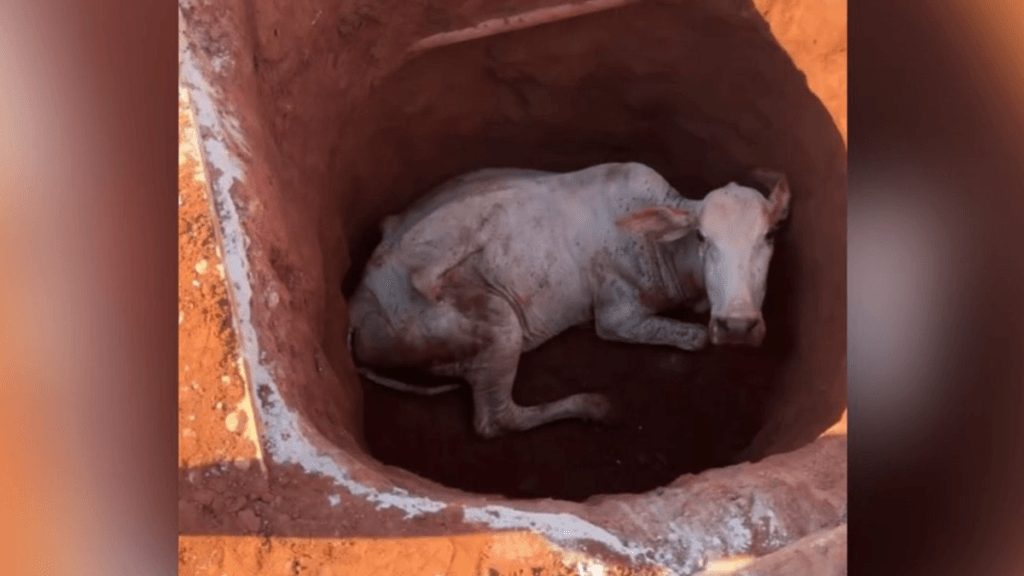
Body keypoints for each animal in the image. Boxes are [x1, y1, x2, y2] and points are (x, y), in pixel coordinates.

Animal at [347, 162, 790, 438]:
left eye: (768, 236)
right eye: (702, 237)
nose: (737, 325)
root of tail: (356, 308)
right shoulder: (615, 316)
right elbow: (695, 338)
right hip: (498, 323)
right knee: (496, 419)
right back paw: (596, 407)